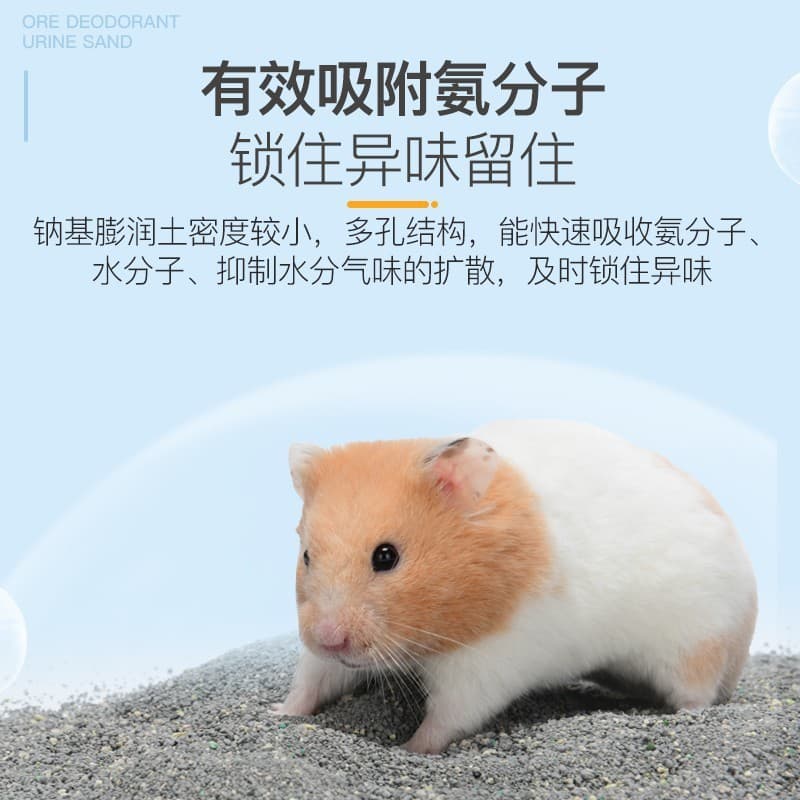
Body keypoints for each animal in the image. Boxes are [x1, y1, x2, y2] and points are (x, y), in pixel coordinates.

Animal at [271, 420, 757, 754]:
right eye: (307, 556)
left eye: (386, 556)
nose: (330, 639)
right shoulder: (327, 657)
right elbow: (312, 681)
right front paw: (279, 712)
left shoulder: (490, 661)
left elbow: (449, 716)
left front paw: (410, 749)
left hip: (693, 643)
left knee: (700, 690)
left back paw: (683, 714)